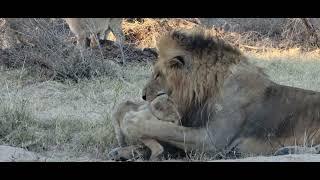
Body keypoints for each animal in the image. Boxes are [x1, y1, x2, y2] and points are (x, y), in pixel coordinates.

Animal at [114, 27, 320, 160]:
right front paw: (126, 151)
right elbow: (167, 138)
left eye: (158, 75)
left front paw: (133, 122)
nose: (143, 96)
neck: (207, 91)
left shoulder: (213, 140)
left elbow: (164, 129)